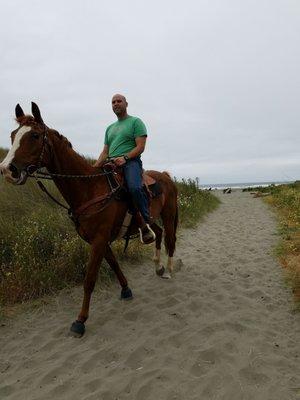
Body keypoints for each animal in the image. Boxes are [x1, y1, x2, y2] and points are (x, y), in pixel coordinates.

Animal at [0, 104, 177, 338]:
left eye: (35, 136)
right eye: (13, 135)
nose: (6, 169)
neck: (89, 189)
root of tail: (166, 176)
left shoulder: (99, 240)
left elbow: (89, 280)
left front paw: (80, 320)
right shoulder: (98, 240)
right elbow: (114, 265)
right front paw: (126, 290)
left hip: (169, 214)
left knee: (170, 239)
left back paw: (170, 270)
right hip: (149, 218)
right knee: (157, 233)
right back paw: (158, 267)